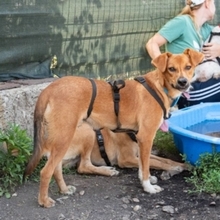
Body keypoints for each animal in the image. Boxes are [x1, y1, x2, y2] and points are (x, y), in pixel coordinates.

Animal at [23, 48, 204, 208]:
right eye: (171, 68)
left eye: (188, 67)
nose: (183, 82)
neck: (159, 86)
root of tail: (49, 89)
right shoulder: (145, 138)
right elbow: (147, 165)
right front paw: (148, 187)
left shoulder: (140, 144)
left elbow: (149, 163)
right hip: (73, 136)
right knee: (49, 171)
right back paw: (44, 201)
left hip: (65, 139)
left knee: (59, 168)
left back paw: (65, 189)